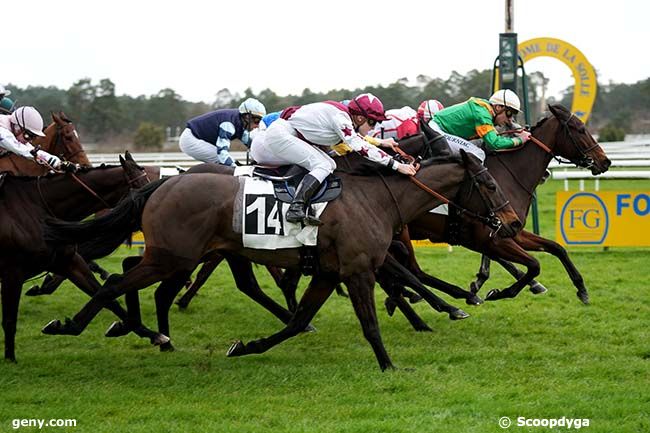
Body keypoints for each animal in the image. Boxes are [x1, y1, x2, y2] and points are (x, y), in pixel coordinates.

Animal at [0, 157, 162, 362]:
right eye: (142, 187)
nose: (155, 213)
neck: (38, 208)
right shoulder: (12, 272)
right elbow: (9, 320)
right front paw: (10, 359)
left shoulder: (69, 262)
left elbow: (107, 297)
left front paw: (153, 335)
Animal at [41, 147, 520, 370]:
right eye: (489, 184)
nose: (513, 223)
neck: (378, 200)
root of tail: (163, 183)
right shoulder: (358, 271)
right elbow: (370, 322)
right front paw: (389, 364)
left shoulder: (328, 273)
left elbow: (294, 322)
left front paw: (246, 346)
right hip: (172, 255)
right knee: (114, 282)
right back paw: (74, 325)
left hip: (185, 254)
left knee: (137, 282)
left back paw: (149, 332)